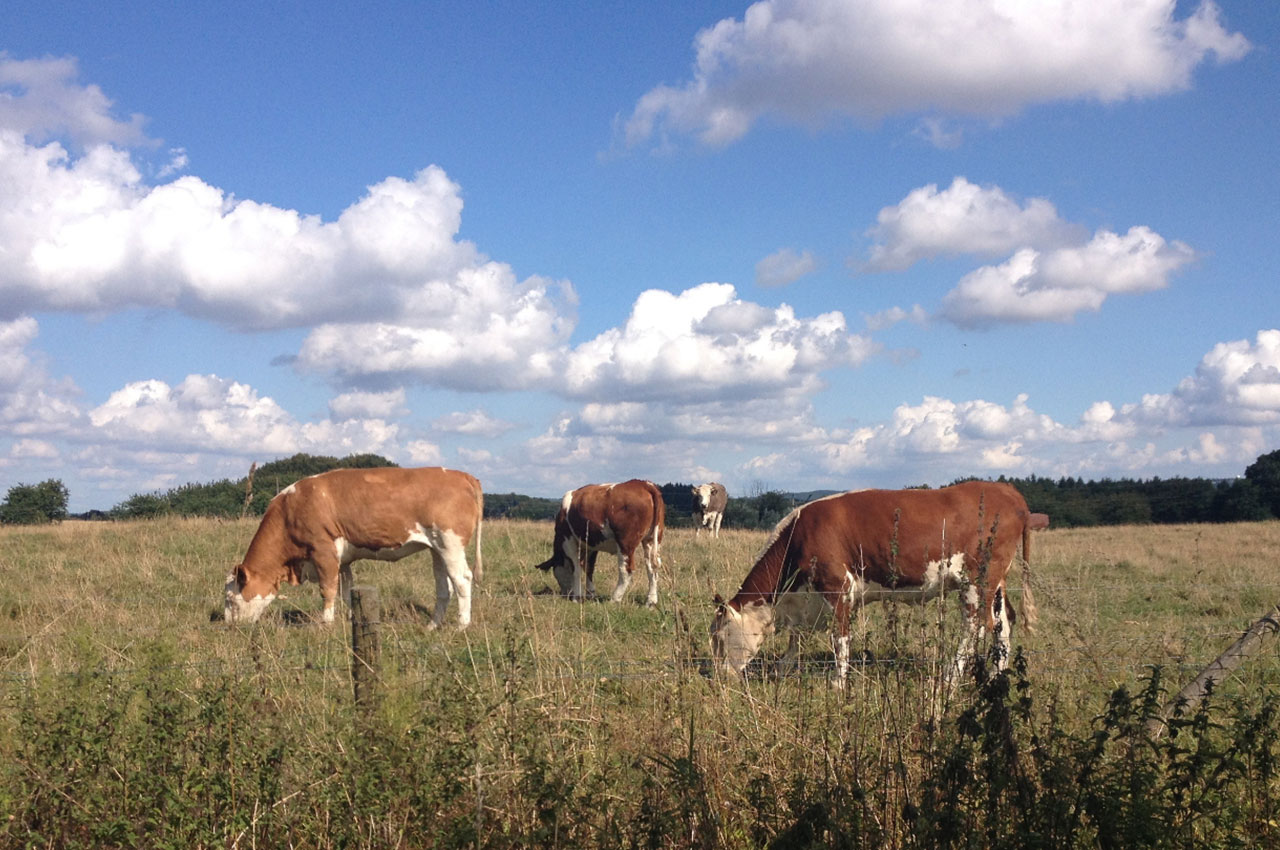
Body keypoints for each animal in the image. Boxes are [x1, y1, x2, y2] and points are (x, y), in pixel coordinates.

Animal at [222, 468, 481, 627]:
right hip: (436, 548)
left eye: (230, 599)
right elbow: (346, 592)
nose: (230, 625)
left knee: (462, 580)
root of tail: (461, 475)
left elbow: (327, 590)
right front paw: (352, 621)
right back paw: (432, 626)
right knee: (444, 587)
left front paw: (326, 624)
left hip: (450, 543)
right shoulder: (343, 561)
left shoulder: (323, 551)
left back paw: (461, 626)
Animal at [532, 481, 665, 606]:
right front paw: (590, 593)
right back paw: (651, 601)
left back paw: (614, 599)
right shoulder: (591, 545)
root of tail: (644, 484)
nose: (565, 595)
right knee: (652, 568)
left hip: (625, 543)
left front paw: (577, 597)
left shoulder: (568, 541)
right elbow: (589, 568)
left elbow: (577, 570)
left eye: (556, 574)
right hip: (651, 539)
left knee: (626, 569)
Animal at [711, 481, 1039, 686]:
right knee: (1003, 622)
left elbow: (840, 638)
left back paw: (950, 676)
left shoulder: (837, 587)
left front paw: (837, 682)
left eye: (720, 637)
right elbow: (797, 638)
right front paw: (782, 670)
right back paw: (997, 675)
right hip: (996, 582)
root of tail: (1007, 491)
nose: (720, 676)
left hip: (977, 580)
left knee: (975, 625)